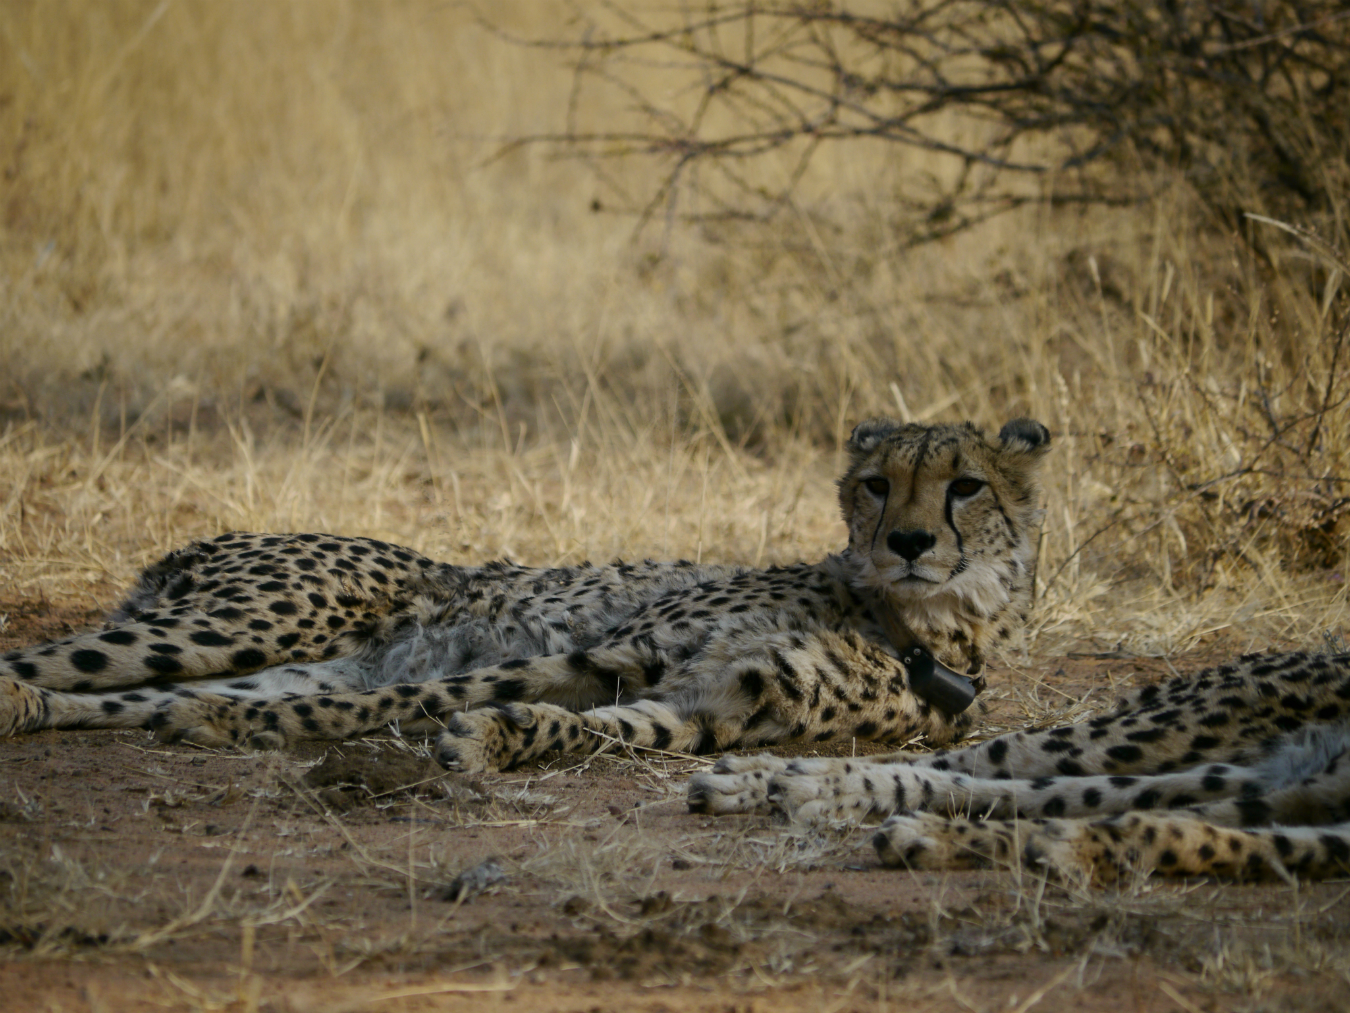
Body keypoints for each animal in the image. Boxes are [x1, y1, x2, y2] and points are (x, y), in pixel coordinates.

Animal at [0, 416, 1053, 772]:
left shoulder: (711, 707)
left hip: (249, 651)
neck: (910, 620)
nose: (910, 542)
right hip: (245, 619)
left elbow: (594, 728)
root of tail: (200, 541)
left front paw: (498, 741)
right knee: (59, 662)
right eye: (877, 483)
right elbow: (429, 691)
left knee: (140, 696)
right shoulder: (619, 647)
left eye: (966, 485)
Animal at [691, 653, 1350, 886]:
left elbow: (1182, 827)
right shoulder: (1285, 775)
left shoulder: (1296, 789)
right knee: (997, 758)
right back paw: (782, 777)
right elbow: (1088, 798)